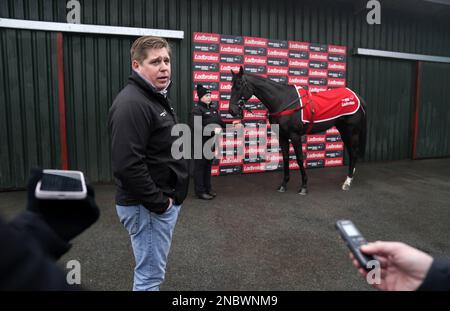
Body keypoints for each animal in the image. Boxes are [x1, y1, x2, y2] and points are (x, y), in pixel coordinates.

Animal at [229, 66, 366, 195]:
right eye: (232, 85)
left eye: (240, 84)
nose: (232, 110)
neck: (283, 101)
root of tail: (357, 97)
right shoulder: (282, 136)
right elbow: (285, 158)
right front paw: (283, 185)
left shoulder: (295, 136)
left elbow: (300, 158)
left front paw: (304, 186)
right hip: (343, 131)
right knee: (351, 152)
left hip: (352, 132)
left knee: (354, 153)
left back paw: (347, 182)